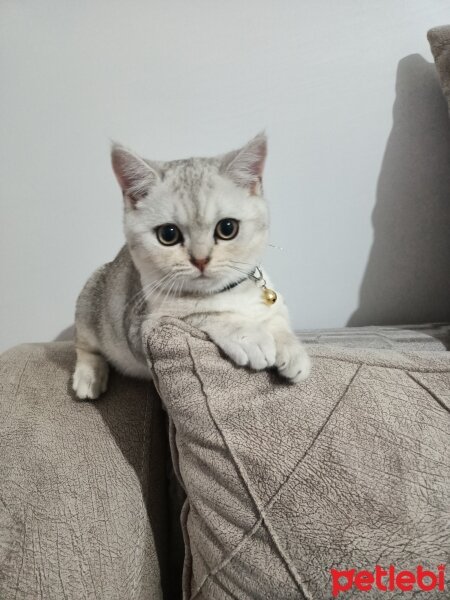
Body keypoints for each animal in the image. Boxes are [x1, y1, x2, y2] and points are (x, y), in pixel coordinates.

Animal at [73, 134, 310, 400]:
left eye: (227, 228)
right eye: (168, 234)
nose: (200, 259)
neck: (228, 293)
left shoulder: (273, 301)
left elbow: (277, 318)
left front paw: (291, 348)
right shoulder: (141, 328)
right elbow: (202, 314)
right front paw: (249, 335)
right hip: (89, 302)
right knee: (85, 346)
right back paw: (89, 377)